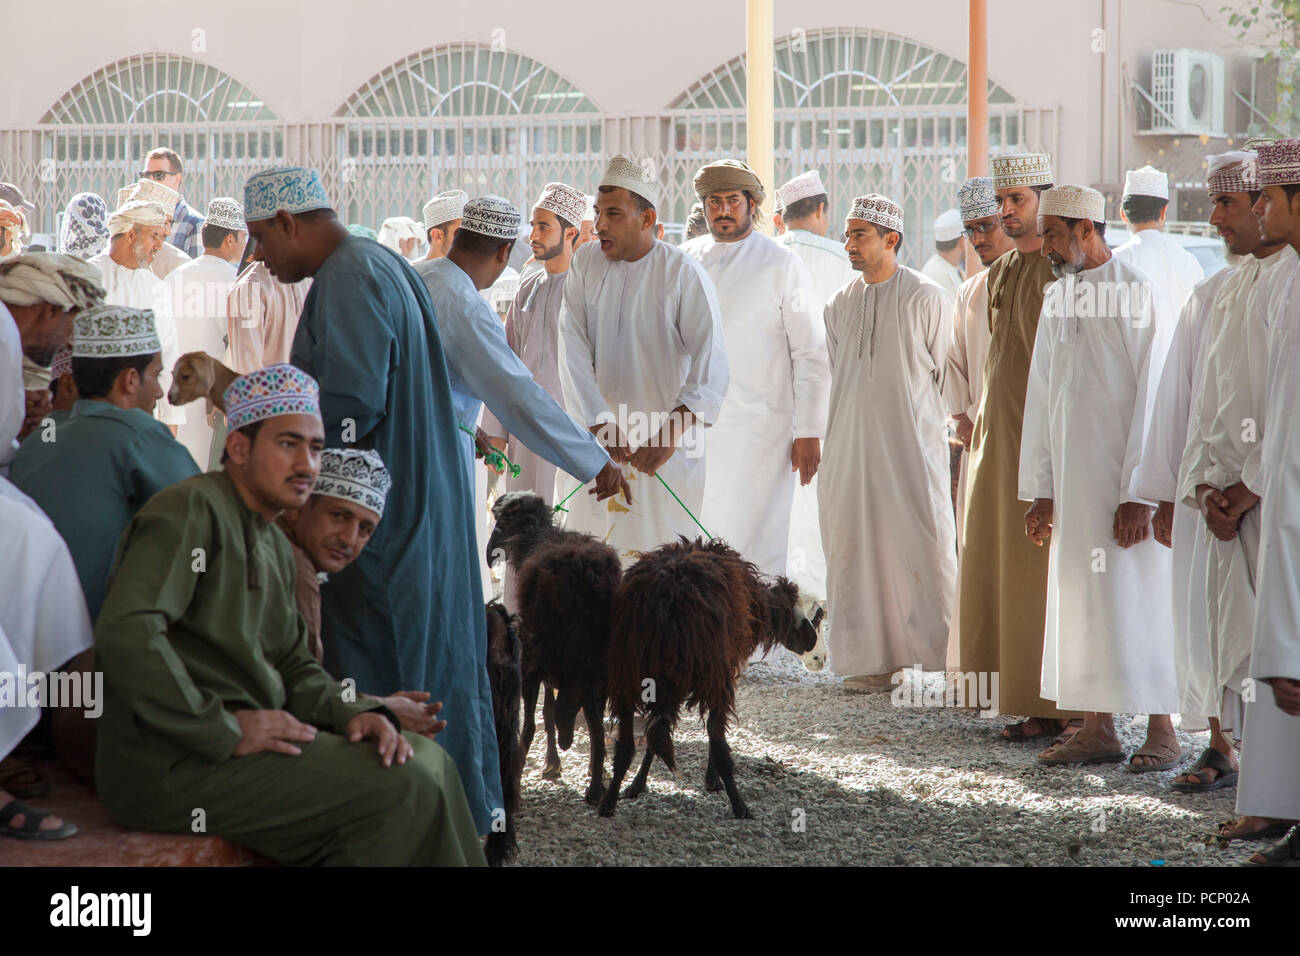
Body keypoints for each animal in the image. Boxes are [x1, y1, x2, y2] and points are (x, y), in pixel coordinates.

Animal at [600, 538, 821, 822]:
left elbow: (654, 737)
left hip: (627, 674)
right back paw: (739, 806)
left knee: (628, 744)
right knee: (717, 743)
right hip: (712, 675)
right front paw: (713, 780)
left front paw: (638, 784)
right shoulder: (726, 673)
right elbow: (714, 733)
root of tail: (666, 602)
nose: (816, 652)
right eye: (816, 615)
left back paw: (608, 802)